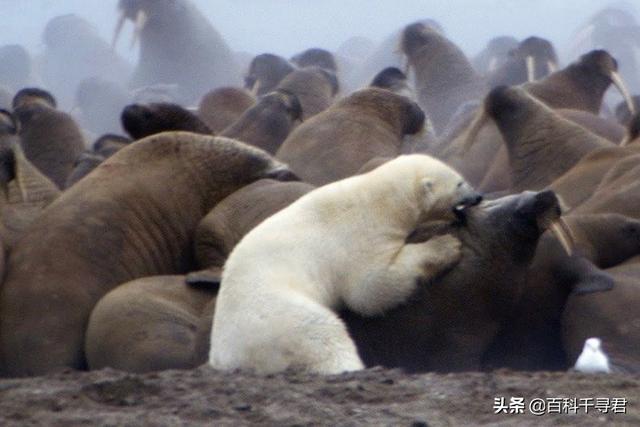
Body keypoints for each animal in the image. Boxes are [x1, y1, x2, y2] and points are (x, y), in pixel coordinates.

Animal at [209, 154, 480, 374]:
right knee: (321, 332)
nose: (478, 196)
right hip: (274, 317)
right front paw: (447, 245)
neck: (379, 200)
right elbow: (370, 289)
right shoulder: (359, 235)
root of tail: (224, 356)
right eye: (460, 183)